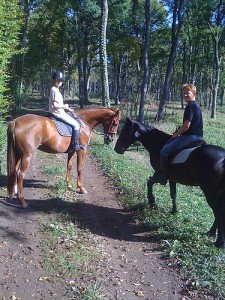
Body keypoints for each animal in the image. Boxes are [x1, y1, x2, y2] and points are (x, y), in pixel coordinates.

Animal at [114, 118, 225, 247]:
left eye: (126, 130)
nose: (116, 149)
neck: (159, 144)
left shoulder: (160, 173)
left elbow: (149, 182)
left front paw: (151, 201)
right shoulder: (172, 178)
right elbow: (173, 194)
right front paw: (174, 211)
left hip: (209, 191)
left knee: (218, 212)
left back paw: (219, 241)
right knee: (219, 211)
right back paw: (211, 233)